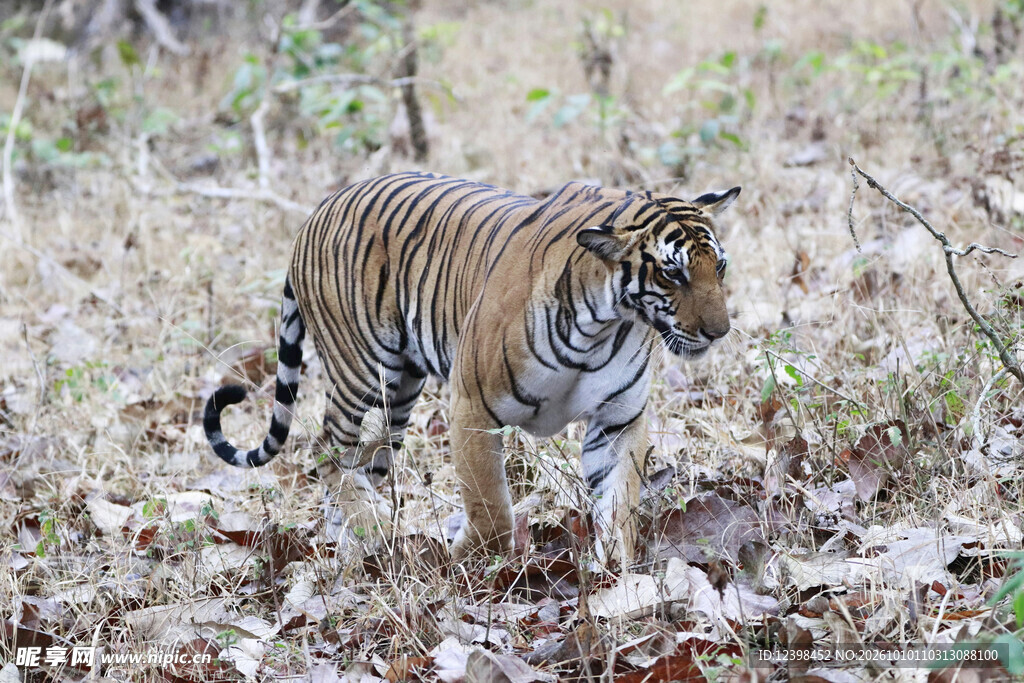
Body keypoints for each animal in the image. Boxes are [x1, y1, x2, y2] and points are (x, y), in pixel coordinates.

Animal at [203, 172, 739, 565]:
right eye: (672, 273)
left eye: (720, 267)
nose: (720, 331)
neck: (606, 323)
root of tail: (320, 207)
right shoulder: (473, 409)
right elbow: (491, 509)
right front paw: (463, 560)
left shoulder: (618, 419)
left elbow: (619, 506)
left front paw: (619, 577)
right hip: (361, 370)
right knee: (328, 450)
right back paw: (367, 530)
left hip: (400, 390)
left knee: (366, 459)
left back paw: (358, 543)